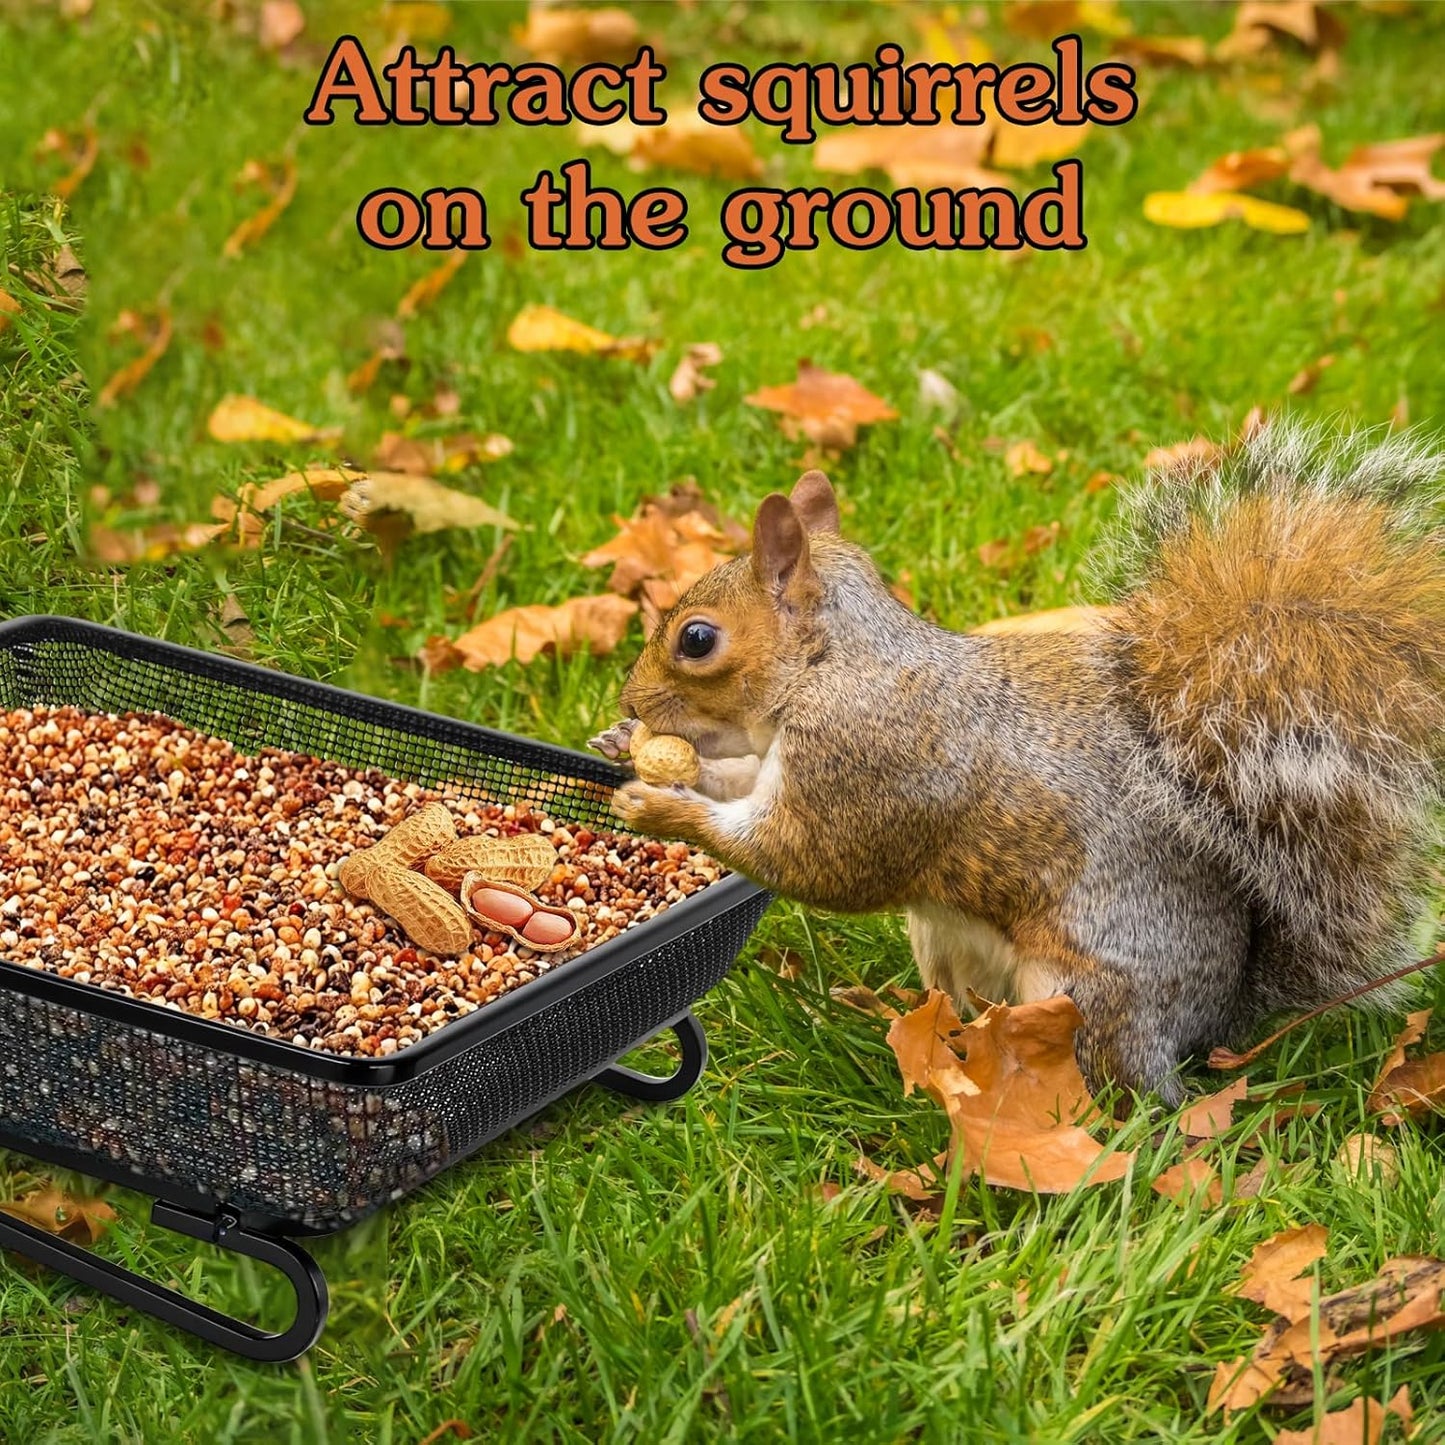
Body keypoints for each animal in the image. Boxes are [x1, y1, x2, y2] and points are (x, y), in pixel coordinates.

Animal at [609, 420, 1445, 1102]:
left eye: (695, 638)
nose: (630, 696)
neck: (834, 664)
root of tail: (1213, 1022)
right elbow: (740, 782)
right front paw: (639, 755)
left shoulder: (866, 764)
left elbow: (807, 860)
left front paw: (661, 806)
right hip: (944, 942)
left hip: (1083, 994)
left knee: (1113, 1088)